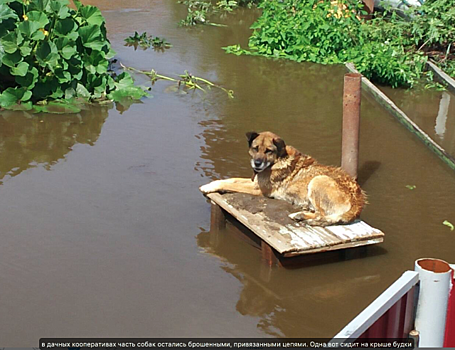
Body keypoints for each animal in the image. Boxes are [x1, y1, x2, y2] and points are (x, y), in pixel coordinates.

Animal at [200, 131, 366, 227]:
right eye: (255, 148)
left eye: (268, 151)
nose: (257, 163)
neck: (277, 159)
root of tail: (358, 202)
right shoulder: (254, 182)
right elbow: (231, 179)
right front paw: (211, 183)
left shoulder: (258, 190)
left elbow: (228, 183)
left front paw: (208, 187)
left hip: (318, 180)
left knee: (322, 215)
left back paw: (300, 215)